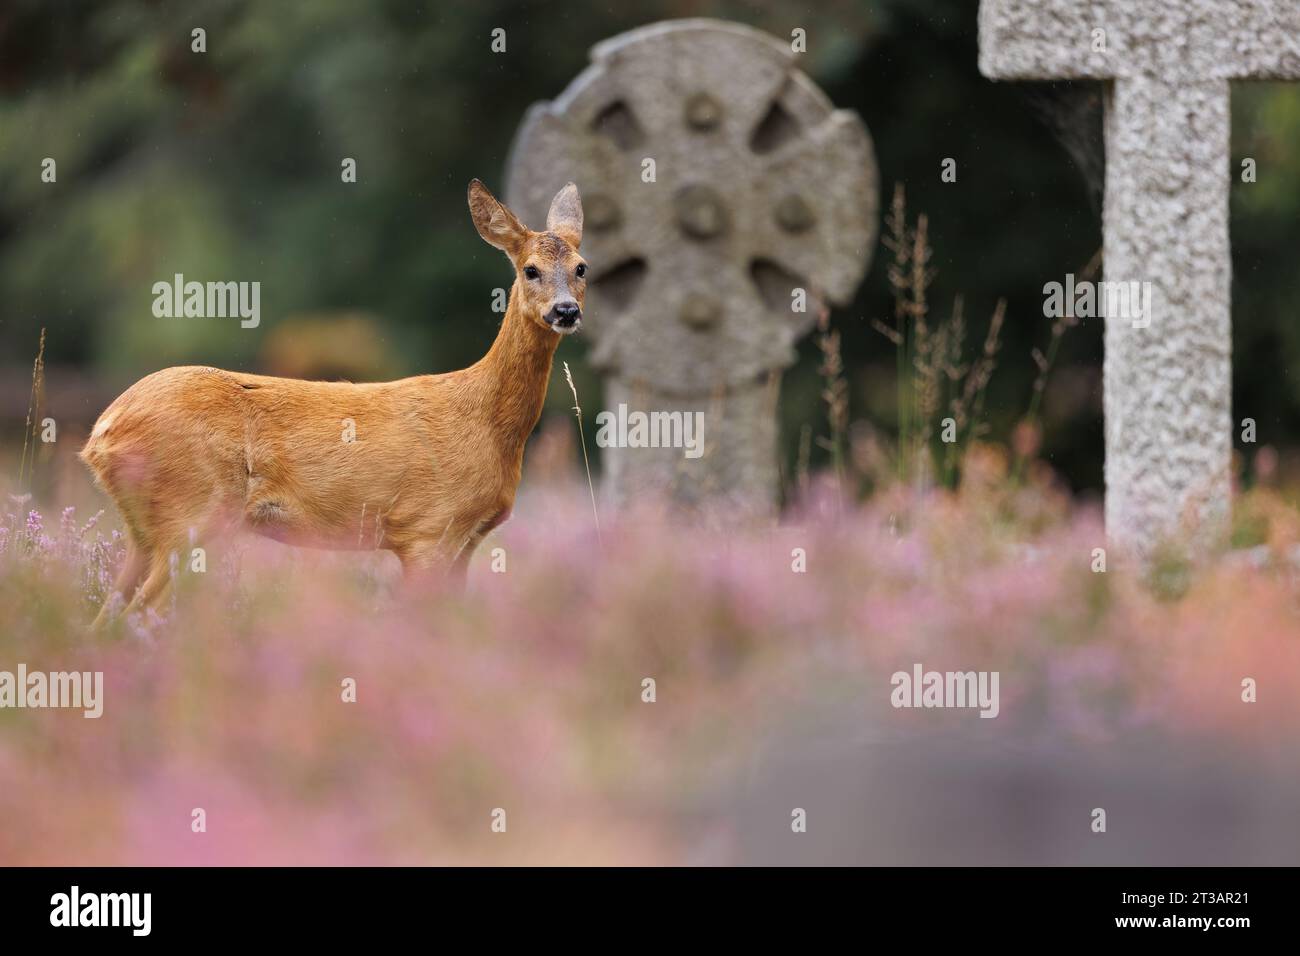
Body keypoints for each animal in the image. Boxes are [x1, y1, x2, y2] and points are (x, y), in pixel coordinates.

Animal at [83, 179, 587, 629]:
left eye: (582, 267)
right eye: (530, 269)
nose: (565, 311)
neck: (487, 421)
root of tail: (101, 433)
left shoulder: (463, 543)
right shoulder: (428, 528)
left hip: (148, 533)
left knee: (104, 618)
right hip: (193, 513)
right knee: (133, 617)